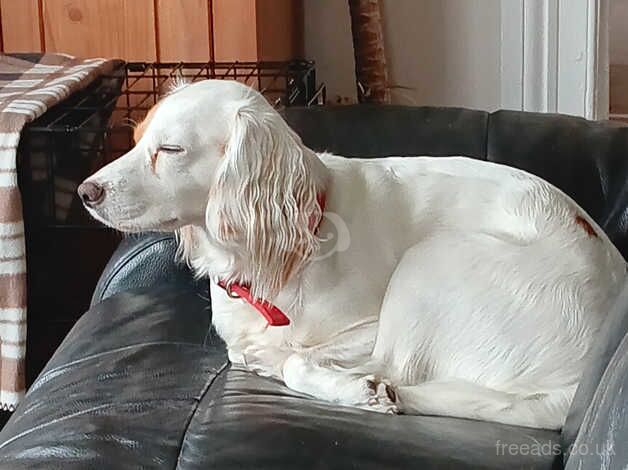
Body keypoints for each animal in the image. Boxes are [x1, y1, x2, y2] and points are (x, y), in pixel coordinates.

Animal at [78, 80, 628, 430]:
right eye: (135, 139)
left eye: (170, 150)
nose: (85, 191)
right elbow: (249, 348)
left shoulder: (364, 331)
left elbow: (299, 358)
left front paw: (299, 365)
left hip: (430, 260)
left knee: (389, 370)